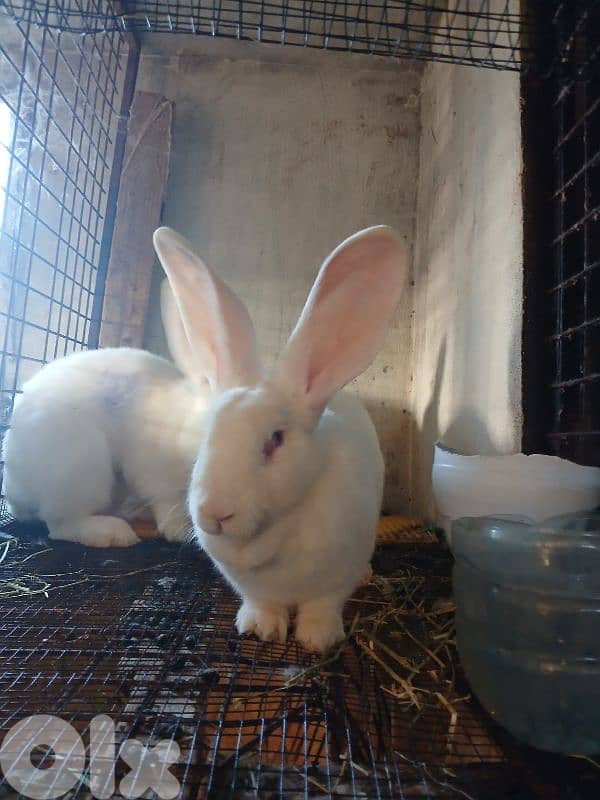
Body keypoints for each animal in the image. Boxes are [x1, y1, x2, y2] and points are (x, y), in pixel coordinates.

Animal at [1, 275, 218, 547]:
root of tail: (13, 490)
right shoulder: (155, 474)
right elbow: (167, 503)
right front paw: (179, 531)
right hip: (81, 465)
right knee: (60, 524)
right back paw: (114, 533)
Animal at [152, 224, 406, 652]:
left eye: (275, 440)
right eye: (208, 438)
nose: (214, 513)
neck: (272, 536)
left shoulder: (333, 581)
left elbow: (322, 606)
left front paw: (318, 639)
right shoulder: (253, 588)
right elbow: (262, 604)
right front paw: (261, 629)